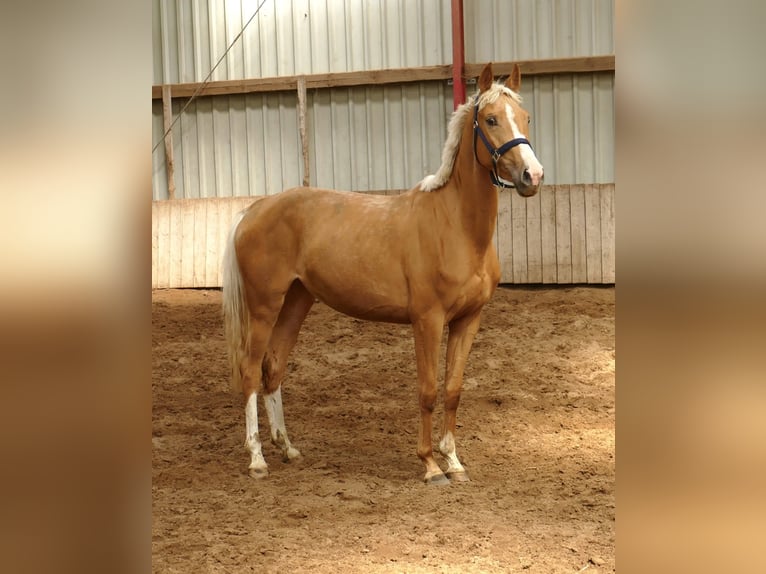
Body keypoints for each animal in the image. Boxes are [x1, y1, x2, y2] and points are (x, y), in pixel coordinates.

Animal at [222, 62, 544, 485]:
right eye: (491, 120)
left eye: (525, 117)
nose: (532, 176)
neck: (454, 225)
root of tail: (254, 209)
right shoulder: (427, 320)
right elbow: (427, 390)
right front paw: (430, 466)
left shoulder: (468, 320)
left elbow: (453, 389)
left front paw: (454, 462)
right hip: (263, 306)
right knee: (248, 369)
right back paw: (257, 458)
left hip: (297, 300)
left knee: (272, 366)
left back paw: (288, 448)